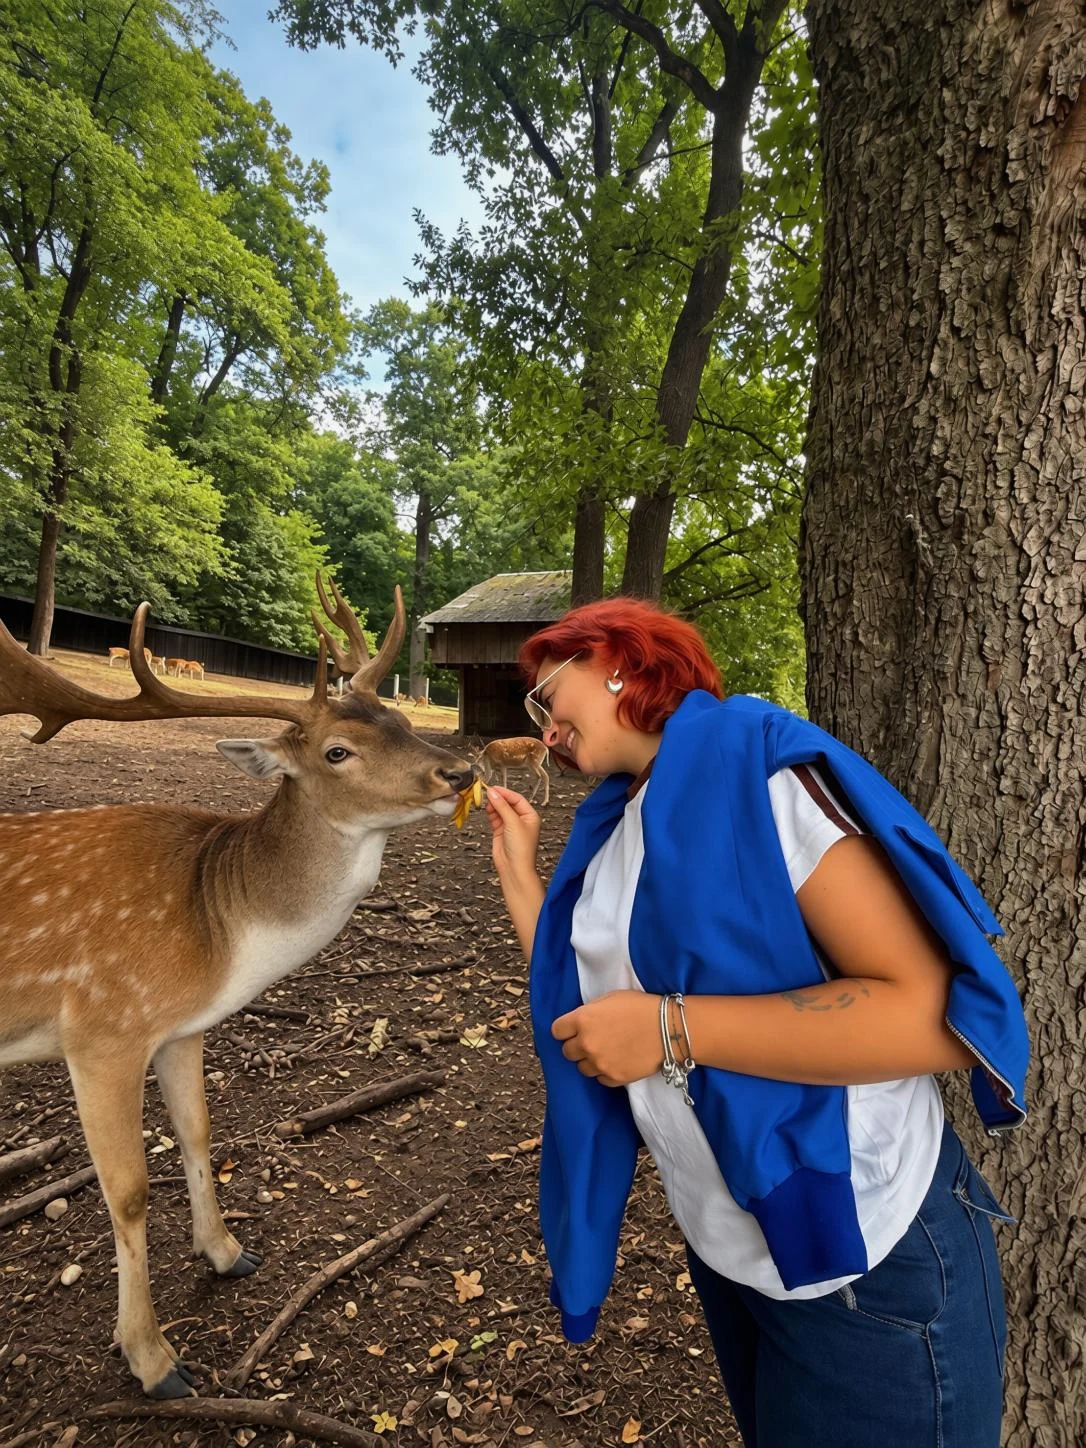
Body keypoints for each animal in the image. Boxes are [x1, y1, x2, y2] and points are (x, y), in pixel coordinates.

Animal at [0, 577, 475, 1400]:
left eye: (402, 719)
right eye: (337, 751)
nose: (460, 773)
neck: (213, 934)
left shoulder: (181, 1026)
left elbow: (197, 1131)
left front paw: (227, 1253)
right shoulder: (102, 1028)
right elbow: (126, 1190)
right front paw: (153, 1359)